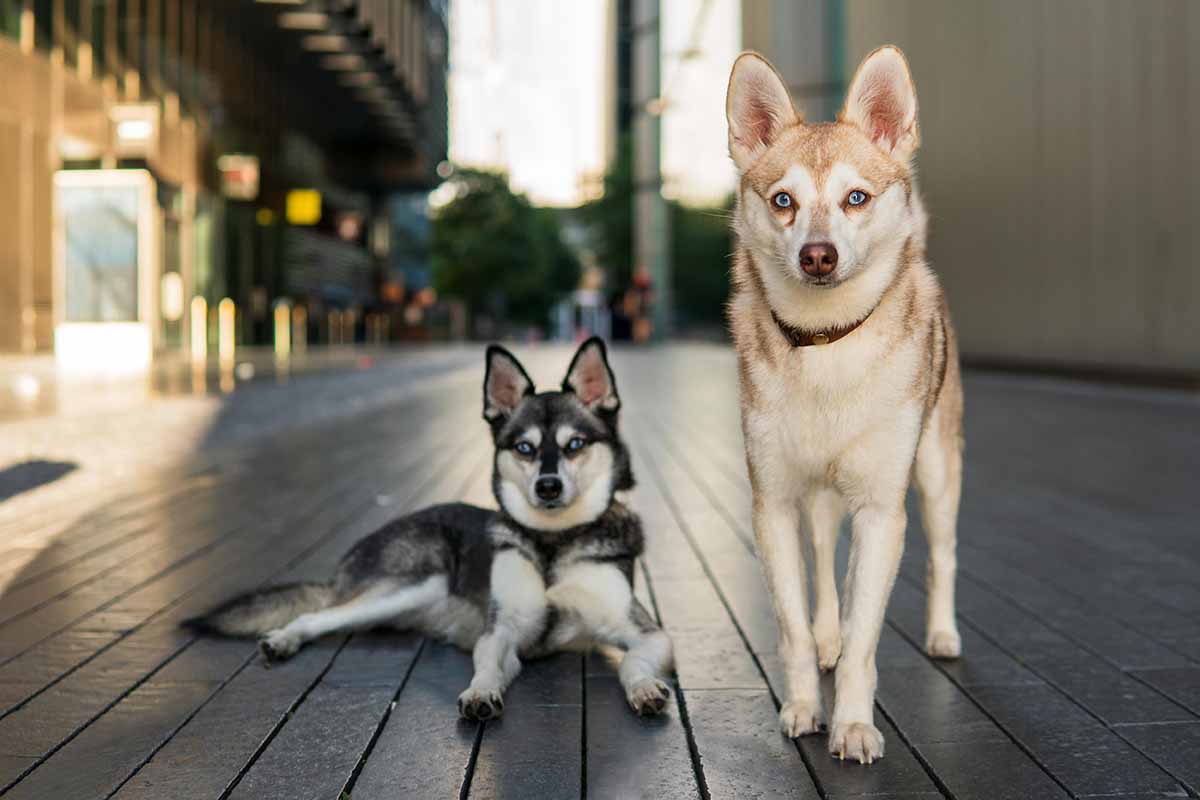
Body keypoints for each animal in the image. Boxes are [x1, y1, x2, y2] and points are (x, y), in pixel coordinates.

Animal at [187, 338, 676, 719]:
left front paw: (644, 688)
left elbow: (632, 663)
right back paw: (284, 639)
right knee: (316, 614)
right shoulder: (501, 632)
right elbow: (487, 665)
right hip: (415, 583)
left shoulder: (649, 634)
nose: (548, 486)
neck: (551, 541)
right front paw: (481, 691)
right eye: (524, 448)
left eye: (575, 444)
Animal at [720, 45, 964, 762]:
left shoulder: (883, 511)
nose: (818, 256)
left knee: (943, 556)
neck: (827, 346)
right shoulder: (772, 504)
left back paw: (943, 635)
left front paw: (853, 723)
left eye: (856, 198)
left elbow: (864, 637)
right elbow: (796, 626)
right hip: (820, 498)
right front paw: (804, 705)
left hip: (937, 473)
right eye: (783, 201)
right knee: (825, 563)